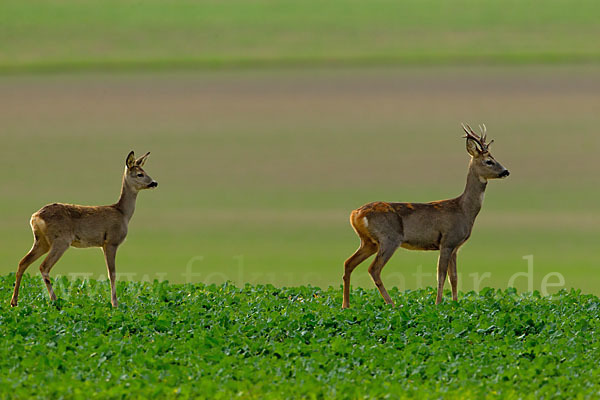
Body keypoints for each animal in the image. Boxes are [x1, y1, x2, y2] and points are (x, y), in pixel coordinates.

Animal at [11, 152, 158, 308]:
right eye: (139, 174)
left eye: (145, 171)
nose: (154, 183)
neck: (122, 213)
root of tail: (35, 216)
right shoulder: (111, 241)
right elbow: (112, 273)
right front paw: (115, 304)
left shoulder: (103, 244)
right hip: (60, 240)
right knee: (43, 266)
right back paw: (55, 300)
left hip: (42, 241)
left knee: (23, 262)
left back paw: (14, 302)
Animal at [344, 125, 508, 310]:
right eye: (489, 161)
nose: (506, 171)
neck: (464, 209)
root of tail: (356, 214)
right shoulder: (447, 241)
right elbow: (441, 274)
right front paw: (438, 304)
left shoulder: (456, 247)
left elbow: (454, 277)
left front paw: (455, 304)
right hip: (389, 238)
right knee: (374, 269)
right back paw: (392, 304)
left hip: (369, 242)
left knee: (348, 263)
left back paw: (346, 305)